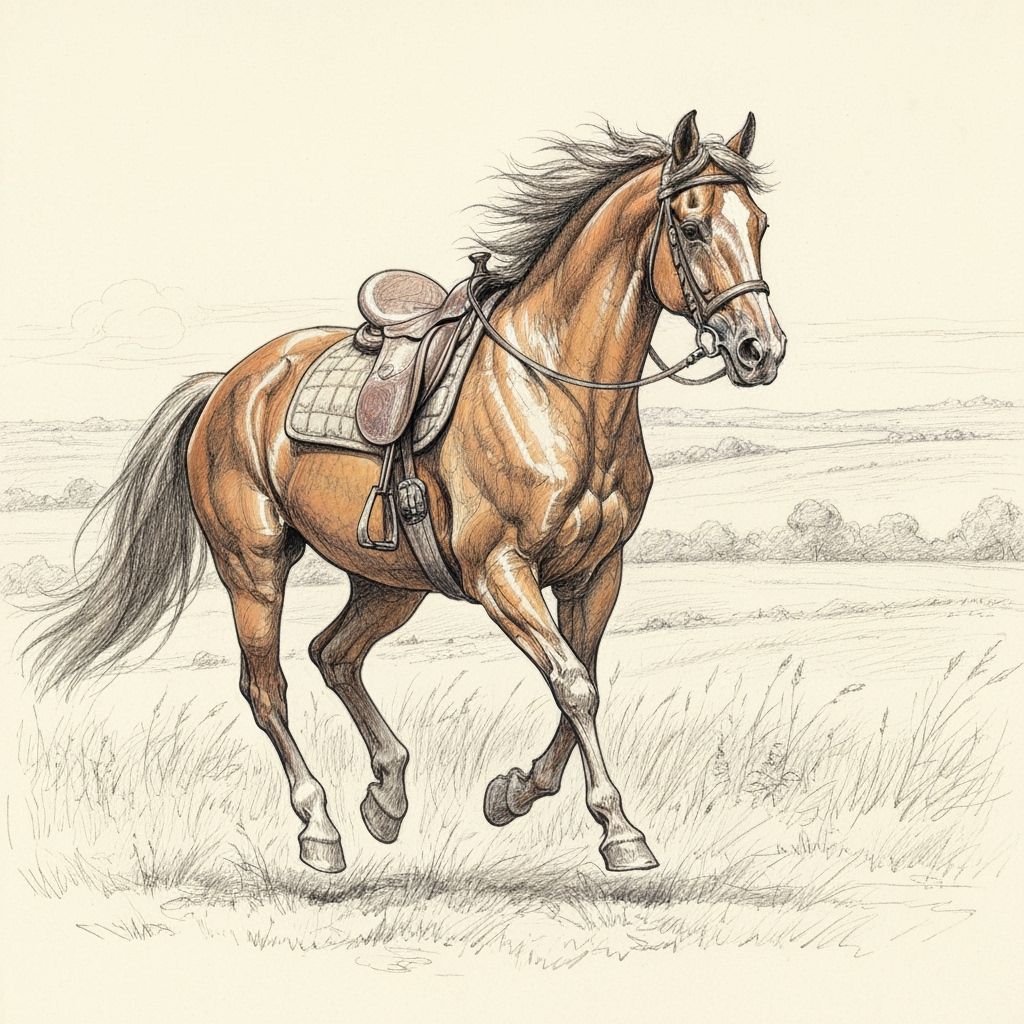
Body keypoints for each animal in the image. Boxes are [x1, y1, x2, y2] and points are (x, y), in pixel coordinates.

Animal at [27, 111, 786, 875]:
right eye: (692, 226)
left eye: (759, 224)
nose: (762, 350)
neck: (556, 388)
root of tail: (230, 385)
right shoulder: (500, 573)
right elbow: (573, 685)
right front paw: (620, 831)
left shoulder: (598, 572)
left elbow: (582, 681)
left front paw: (514, 793)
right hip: (254, 568)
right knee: (267, 689)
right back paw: (319, 828)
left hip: (389, 580)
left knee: (334, 654)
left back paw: (386, 796)